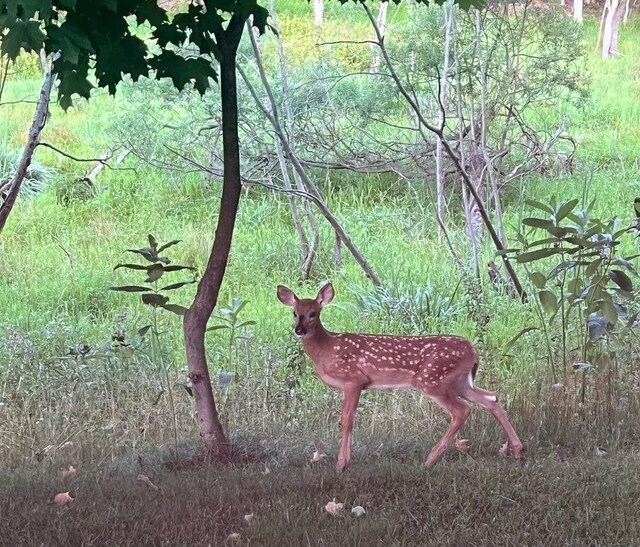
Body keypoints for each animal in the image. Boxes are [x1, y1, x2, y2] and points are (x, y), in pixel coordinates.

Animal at [276, 282, 524, 470]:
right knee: (491, 399)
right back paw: (518, 450)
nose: (299, 330)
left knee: (461, 410)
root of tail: (472, 350)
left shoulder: (354, 380)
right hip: (461, 381)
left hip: (432, 379)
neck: (326, 349)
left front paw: (341, 464)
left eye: (313, 313)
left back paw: (430, 460)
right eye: (294, 313)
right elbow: (348, 420)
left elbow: (346, 420)